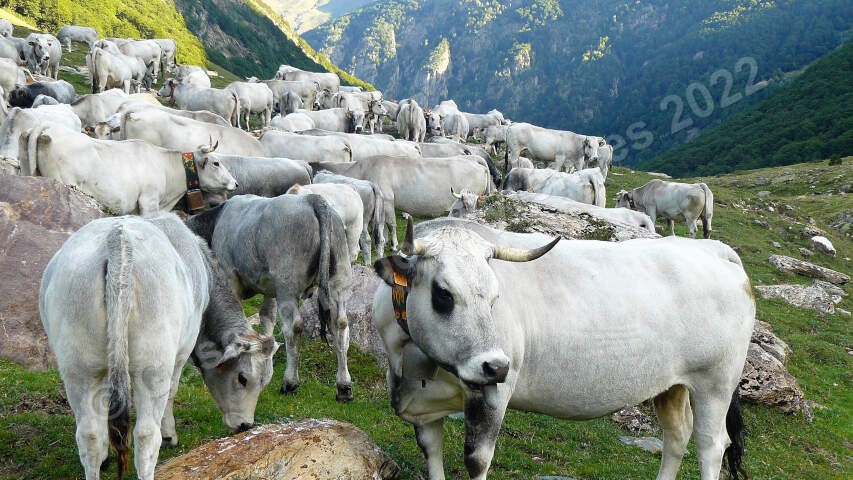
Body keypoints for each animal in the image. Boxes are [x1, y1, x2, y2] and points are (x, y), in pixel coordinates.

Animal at [188, 194, 354, 402]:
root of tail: (310, 198)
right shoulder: (270, 290)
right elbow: (266, 318)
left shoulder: (230, 279)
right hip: (338, 281)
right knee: (340, 326)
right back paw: (344, 387)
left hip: (287, 285)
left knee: (293, 329)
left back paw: (290, 382)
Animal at [372, 217, 752, 480]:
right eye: (443, 294)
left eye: (496, 297)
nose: (496, 366)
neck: (411, 361)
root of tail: (713, 249)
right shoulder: (424, 408)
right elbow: (431, 453)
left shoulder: (492, 395)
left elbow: (477, 460)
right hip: (671, 385)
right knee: (677, 435)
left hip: (715, 383)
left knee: (711, 445)